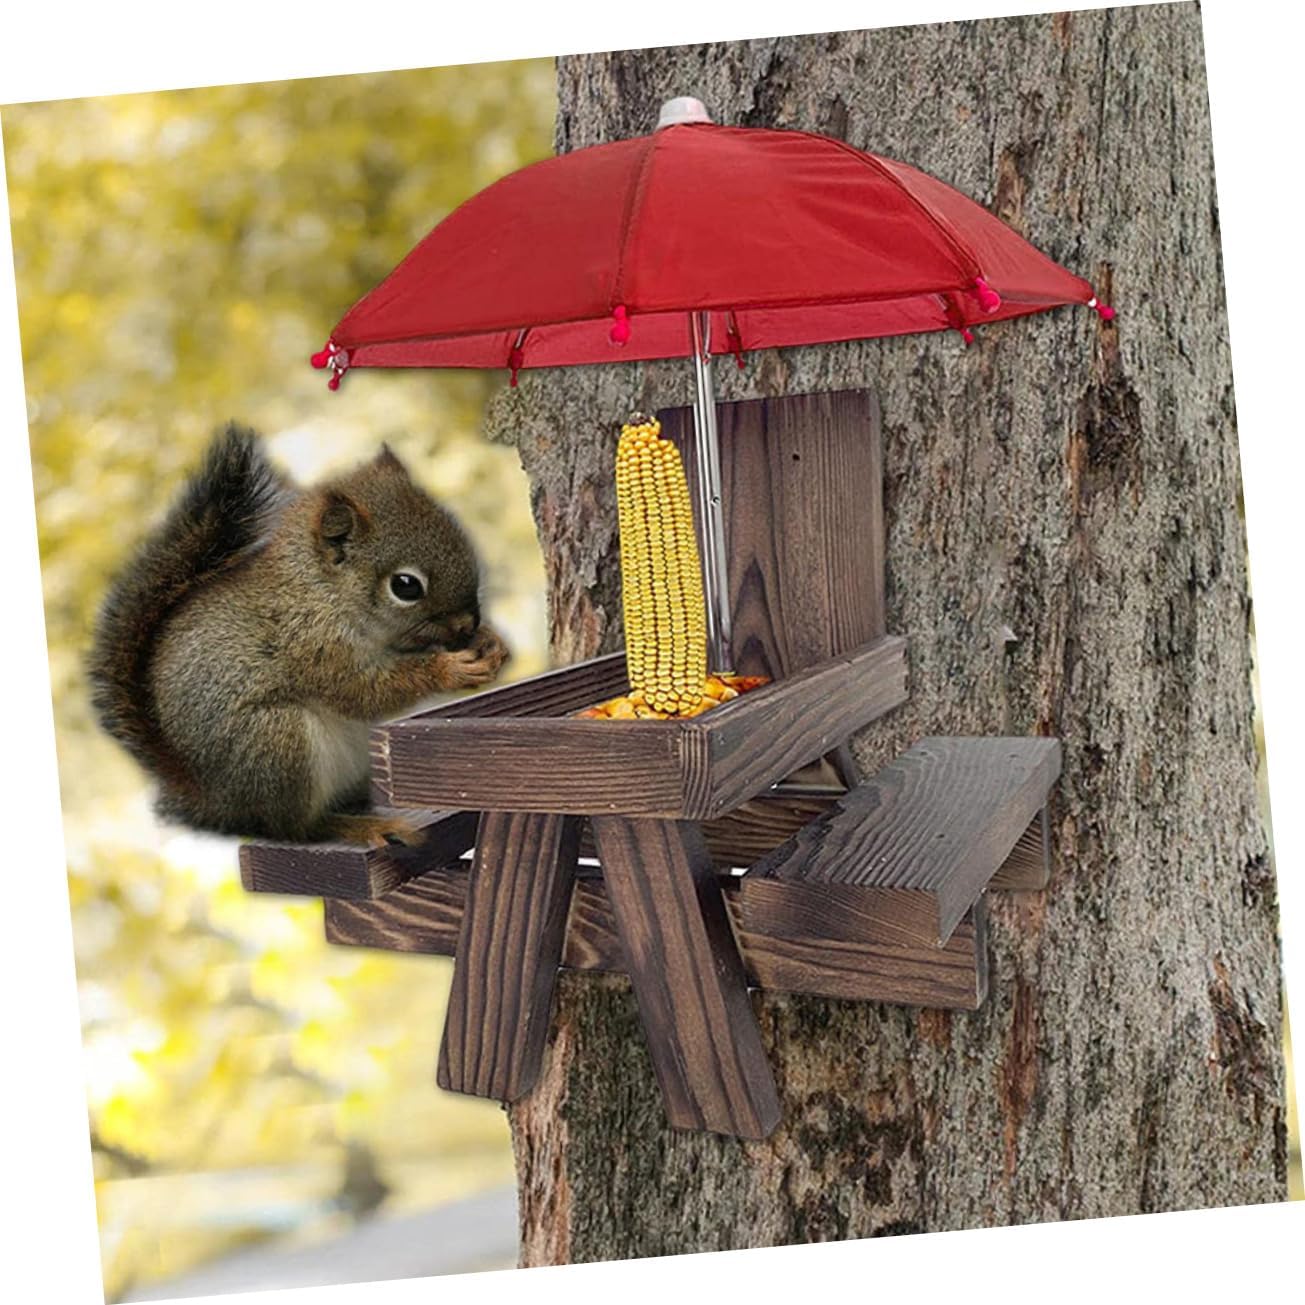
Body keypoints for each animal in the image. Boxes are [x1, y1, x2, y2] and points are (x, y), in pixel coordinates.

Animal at [88, 423, 509, 846]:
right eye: (405, 586)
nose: (468, 624)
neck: (322, 591)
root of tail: (215, 802)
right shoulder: (311, 643)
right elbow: (363, 691)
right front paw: (450, 669)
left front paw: (491, 643)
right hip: (276, 742)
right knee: (293, 828)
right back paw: (358, 826)